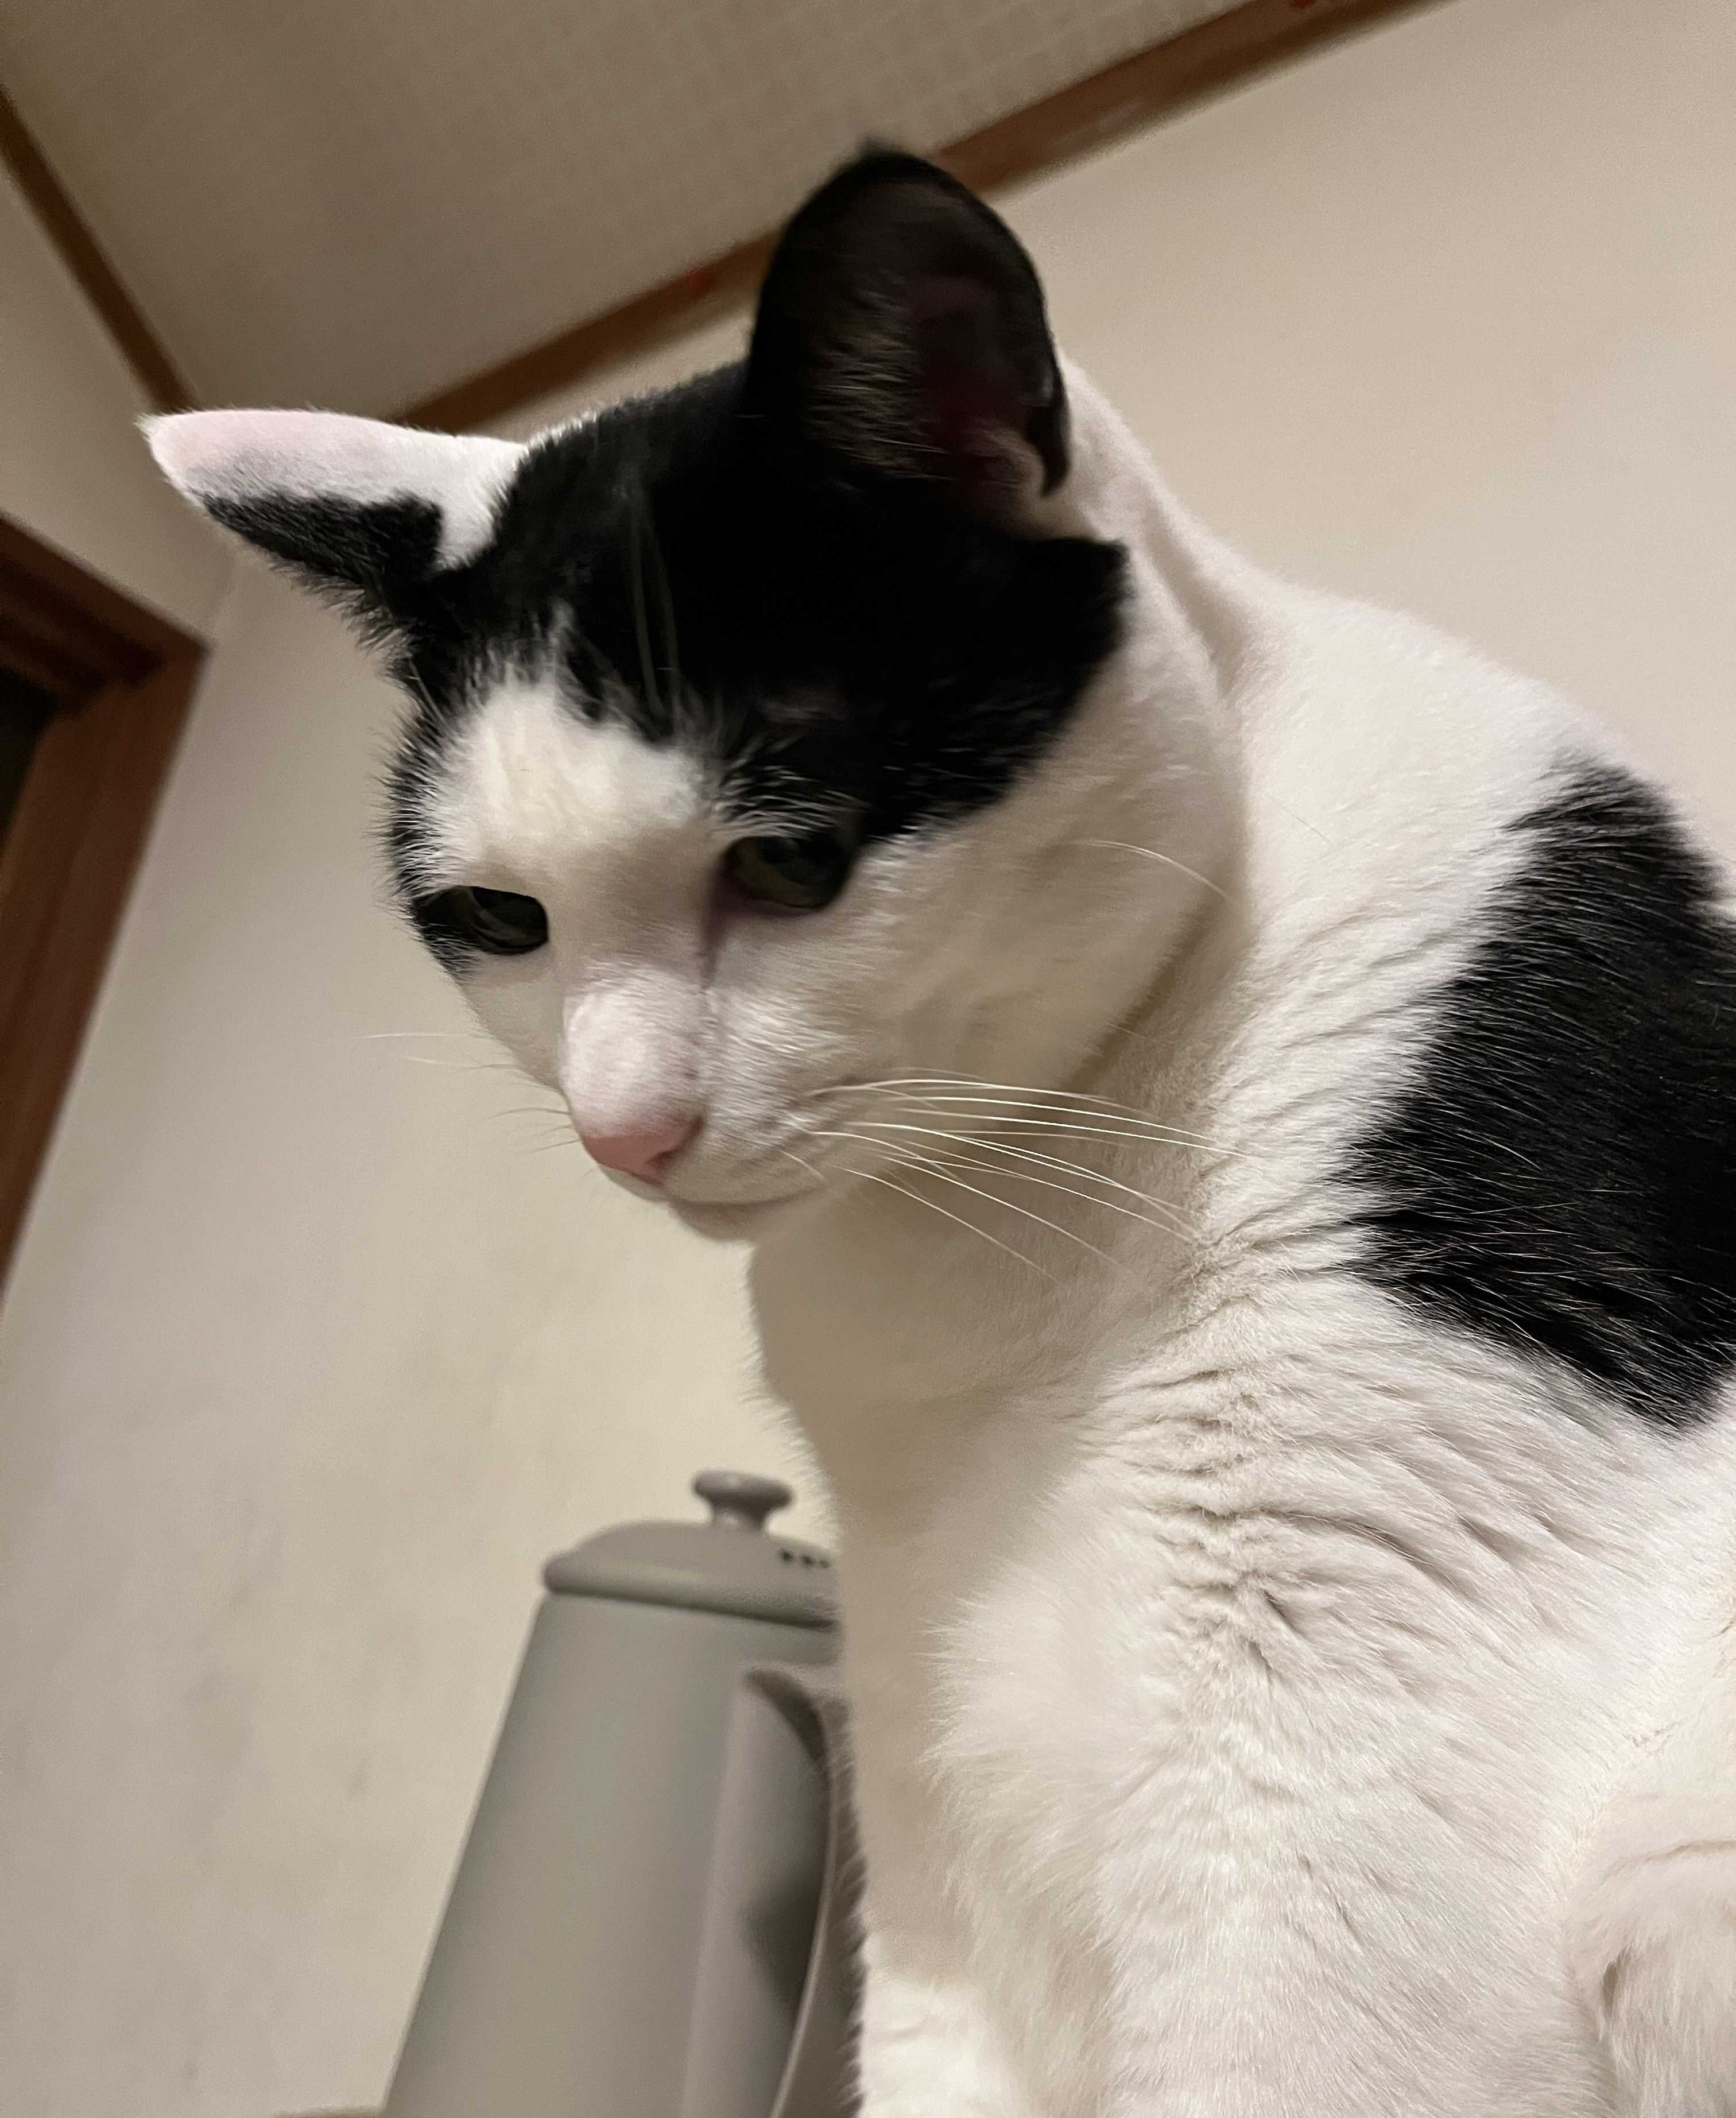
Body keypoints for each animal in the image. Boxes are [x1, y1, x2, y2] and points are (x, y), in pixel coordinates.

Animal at [151, 150, 1736, 2118]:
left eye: (787, 861)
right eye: (501, 919)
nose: (624, 1127)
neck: (998, 1203)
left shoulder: (1321, 1755)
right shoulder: (922, 1794)